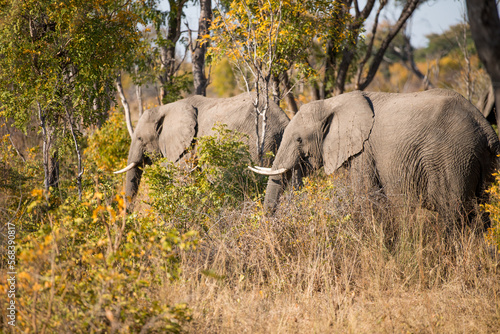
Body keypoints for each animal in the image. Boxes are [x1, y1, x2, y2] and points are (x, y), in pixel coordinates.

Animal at [114, 92, 292, 202]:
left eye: (139, 138)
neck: (166, 108)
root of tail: (285, 121)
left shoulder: (187, 146)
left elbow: (183, 180)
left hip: (260, 145)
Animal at [252, 88, 500, 217]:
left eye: (299, 139)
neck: (333, 102)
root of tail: (486, 129)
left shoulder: (365, 152)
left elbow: (365, 197)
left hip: (452, 158)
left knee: (453, 213)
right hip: (480, 161)